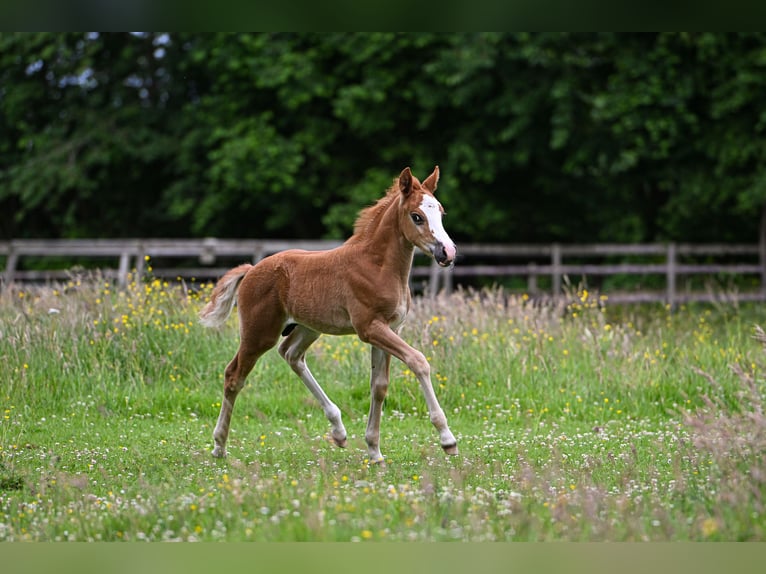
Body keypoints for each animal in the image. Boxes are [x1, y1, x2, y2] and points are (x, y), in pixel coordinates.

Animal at [199, 166, 458, 463]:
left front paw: (374, 450)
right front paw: (447, 439)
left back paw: (338, 430)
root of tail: (251, 269)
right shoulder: (370, 328)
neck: (378, 266)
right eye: (416, 216)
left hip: (308, 327)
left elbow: (379, 386)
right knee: (234, 375)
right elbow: (418, 361)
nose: (447, 252)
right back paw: (219, 445)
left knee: (291, 354)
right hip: (259, 334)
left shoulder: (390, 328)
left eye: (441, 212)